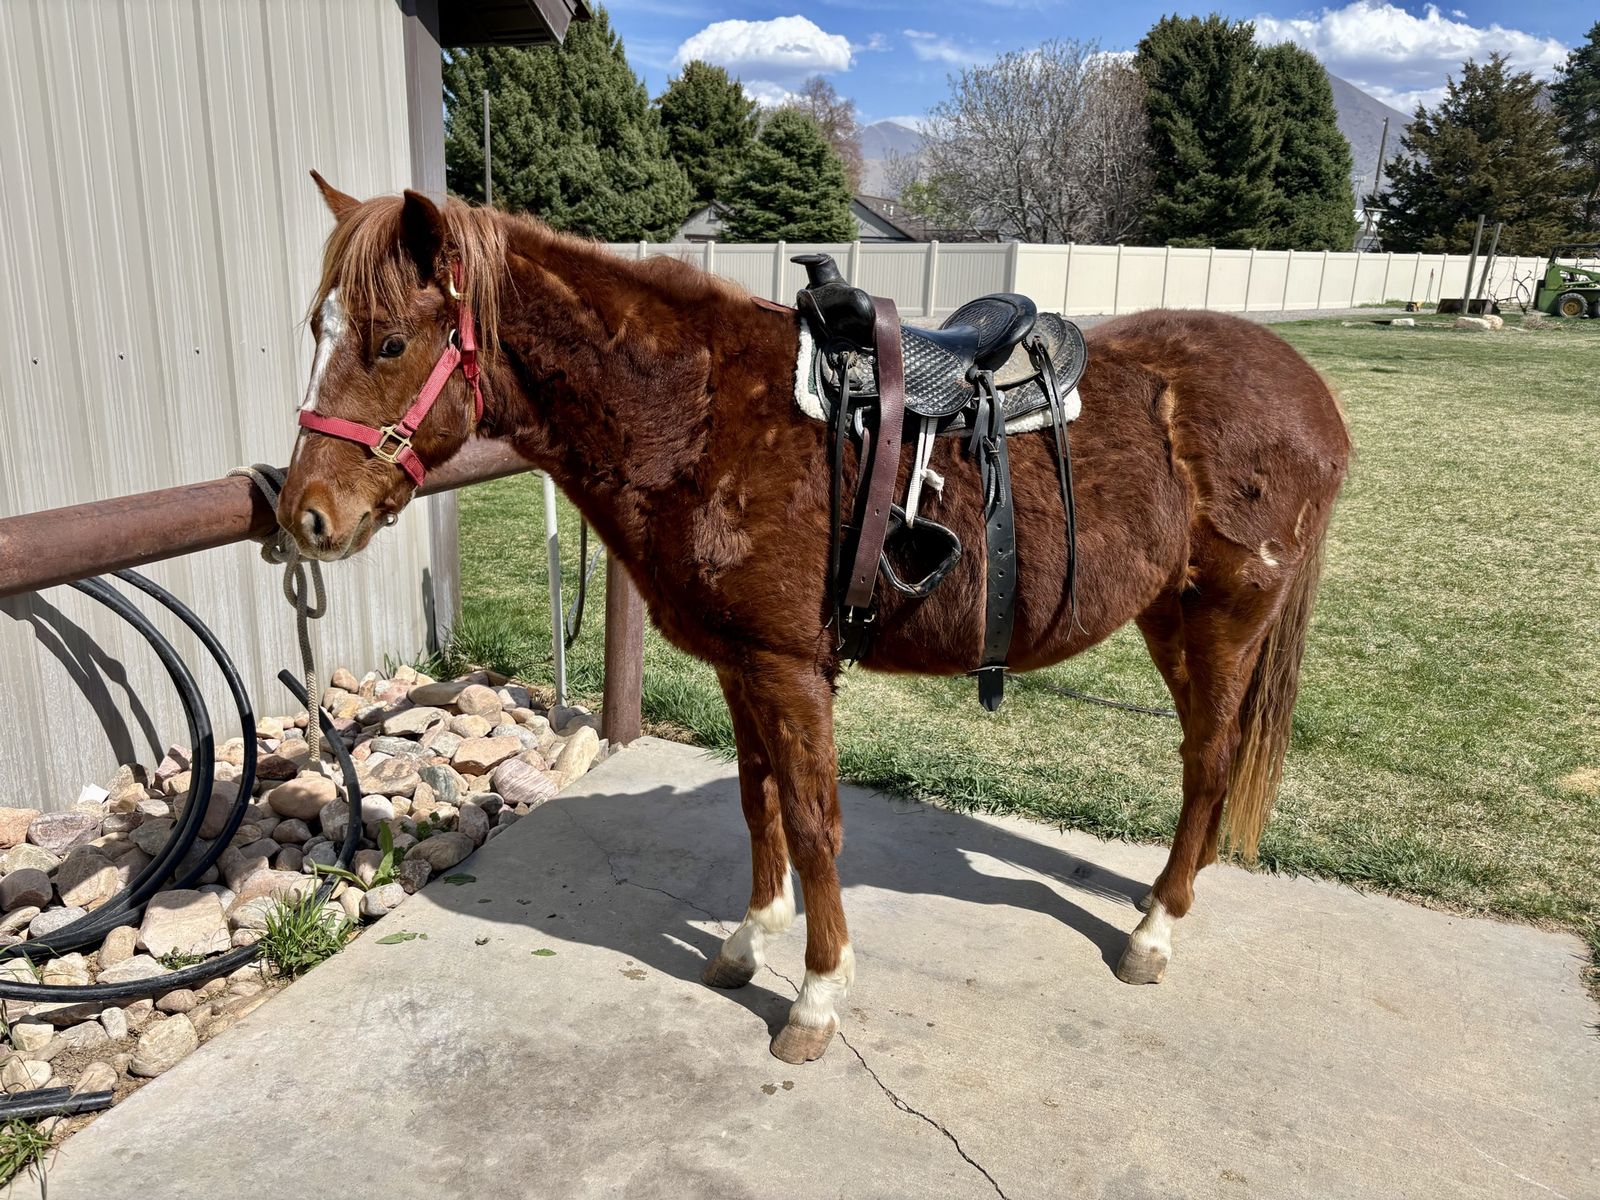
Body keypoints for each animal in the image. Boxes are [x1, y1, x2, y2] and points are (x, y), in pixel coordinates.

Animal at [277, 176, 1350, 1065]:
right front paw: (750, 940)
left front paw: (819, 997)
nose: (304, 516)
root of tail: (1309, 389)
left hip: (1222, 619)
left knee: (1210, 761)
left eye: (388, 341)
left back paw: (1156, 929)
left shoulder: (790, 665)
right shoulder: (738, 662)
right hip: (1172, 617)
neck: (696, 412)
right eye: (318, 331)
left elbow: (811, 817)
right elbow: (758, 803)